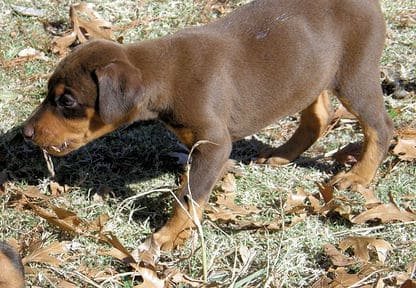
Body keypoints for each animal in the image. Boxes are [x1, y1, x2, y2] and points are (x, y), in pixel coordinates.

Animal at [22, 0, 394, 251]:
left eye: (66, 101)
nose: (25, 133)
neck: (164, 75)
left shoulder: (214, 144)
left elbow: (189, 196)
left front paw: (167, 237)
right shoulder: (200, 145)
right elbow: (192, 187)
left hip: (354, 75)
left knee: (380, 126)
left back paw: (358, 176)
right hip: (312, 73)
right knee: (317, 118)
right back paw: (282, 154)